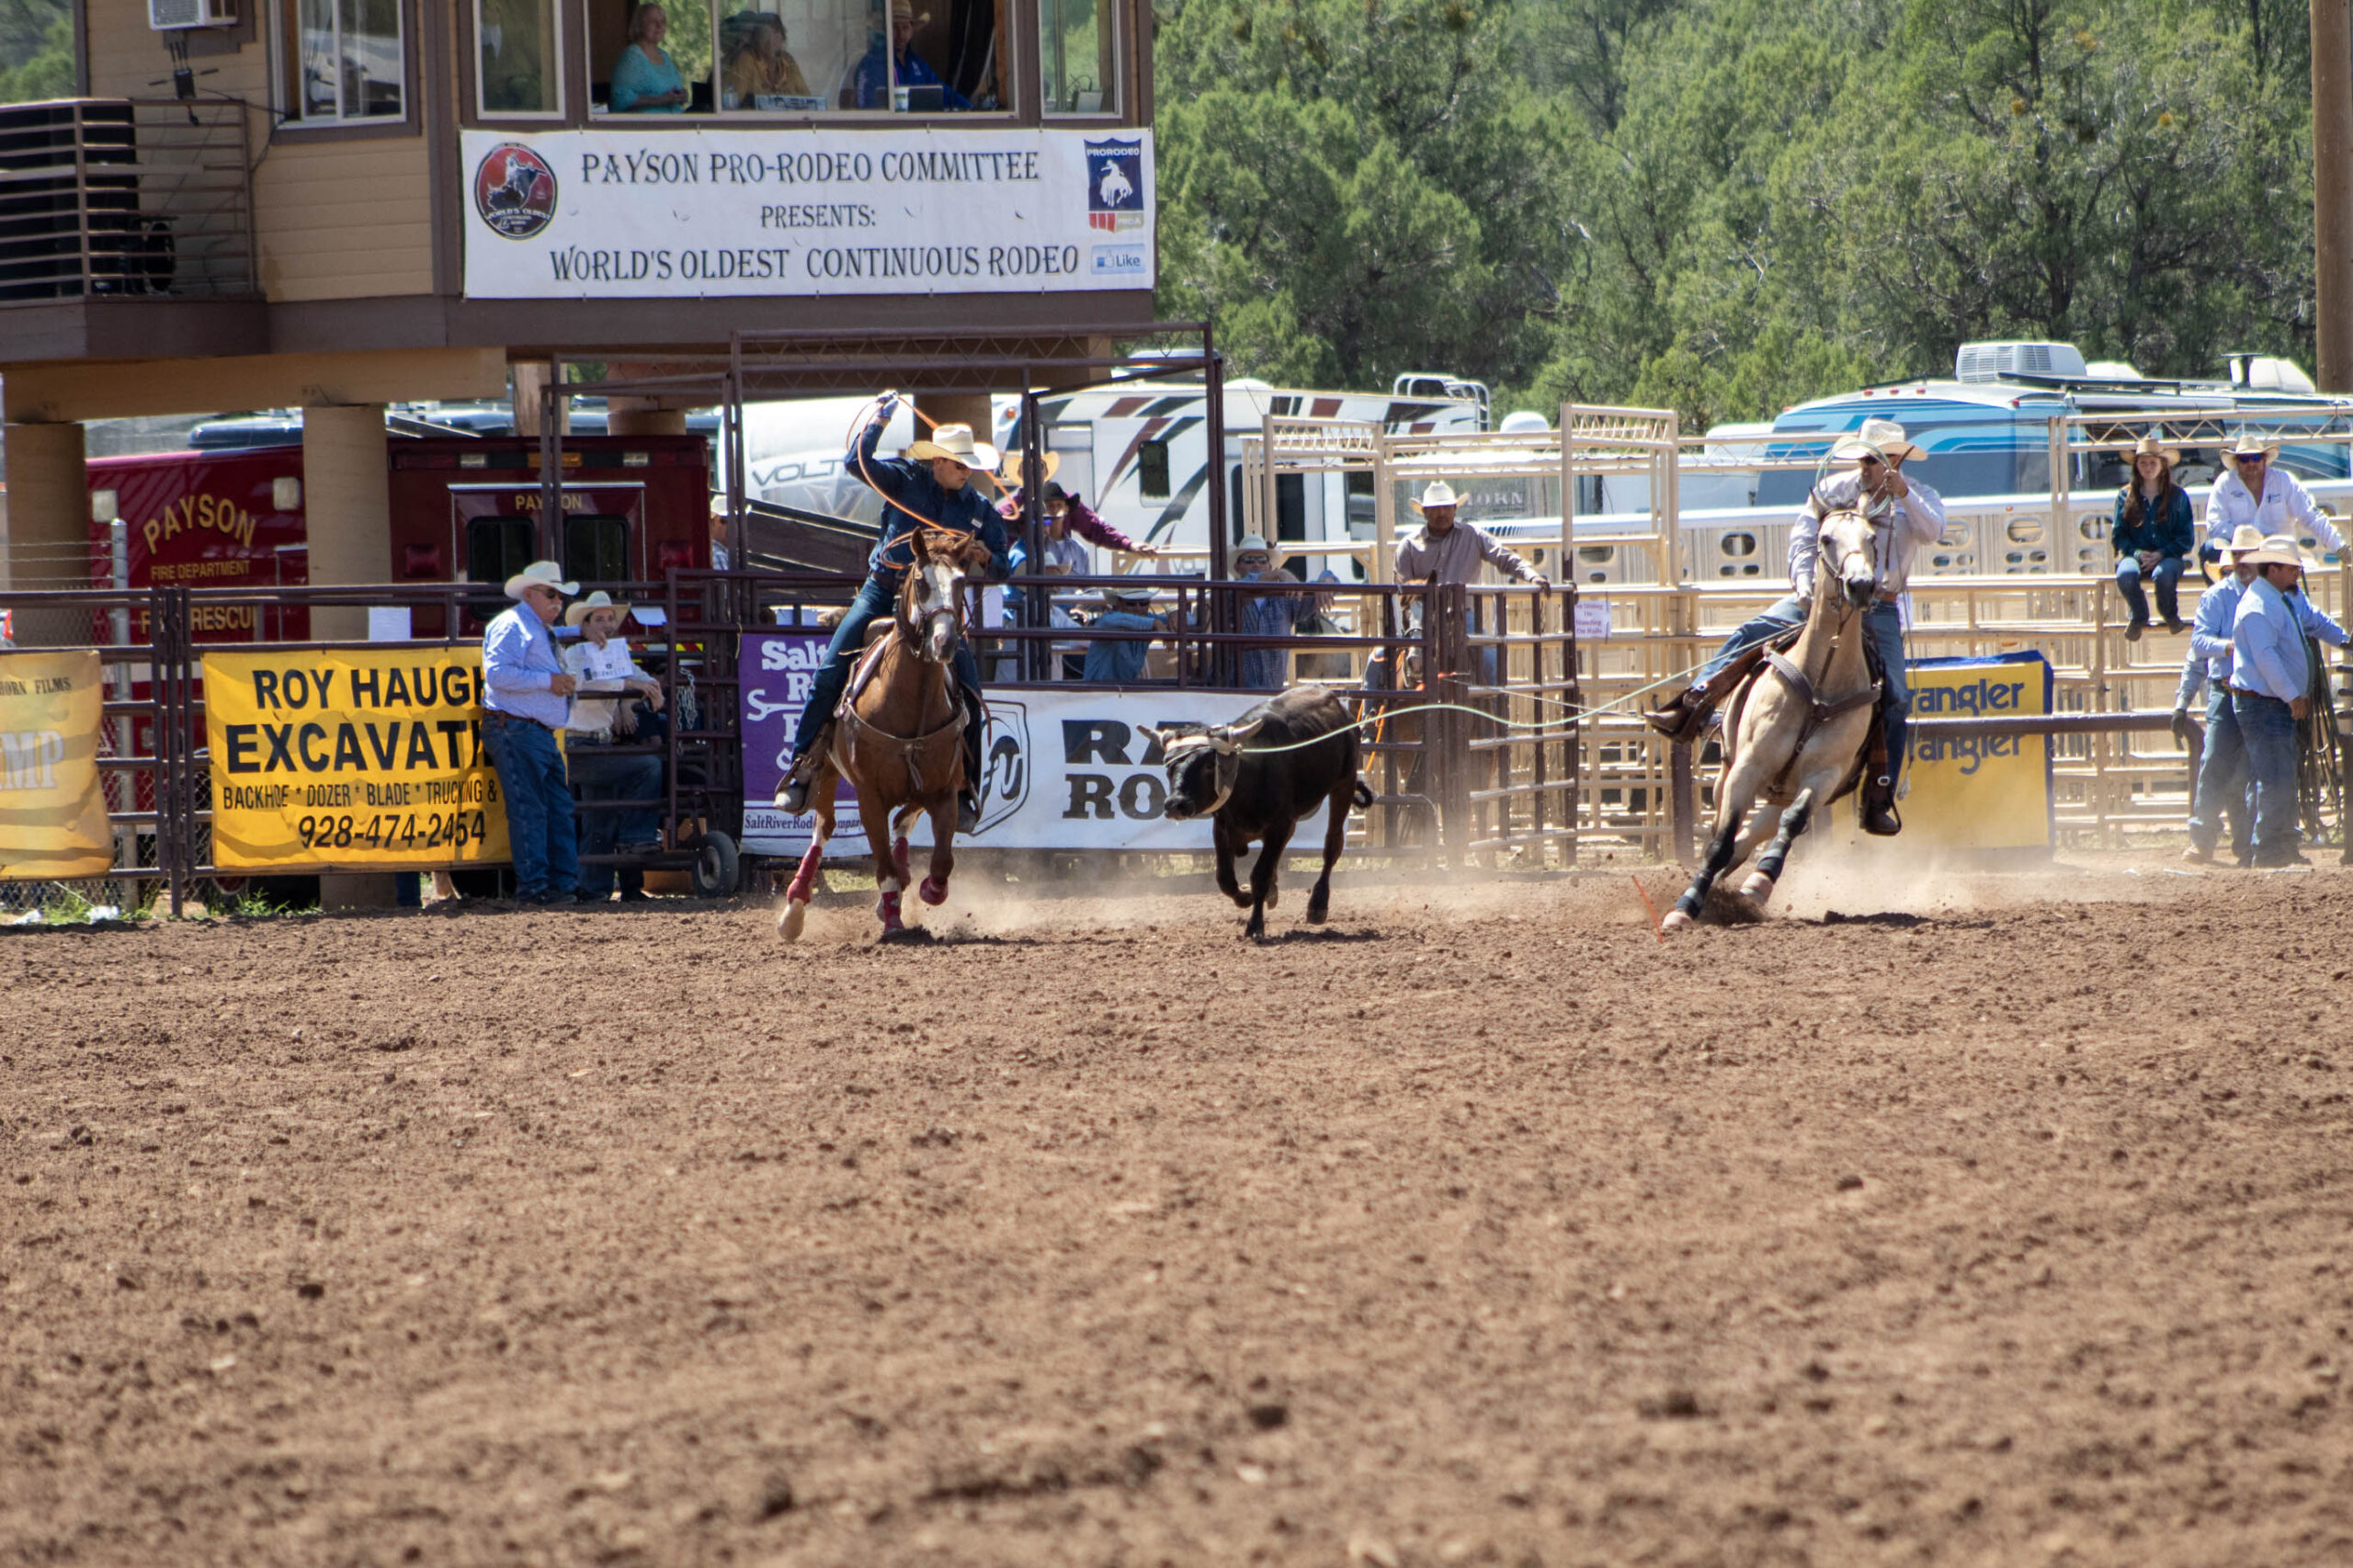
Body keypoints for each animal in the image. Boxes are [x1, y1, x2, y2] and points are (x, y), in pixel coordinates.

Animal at [776, 531, 988, 932]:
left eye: (960, 582)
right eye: (920, 582)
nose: (945, 643)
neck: (910, 704)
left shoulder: (943, 791)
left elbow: (941, 861)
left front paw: (926, 891)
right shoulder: (869, 797)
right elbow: (883, 865)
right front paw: (892, 921)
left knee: (903, 823)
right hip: (828, 770)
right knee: (823, 828)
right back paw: (793, 910)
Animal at [1656, 504, 1892, 927]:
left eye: (1872, 538)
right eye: (1825, 539)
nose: (1861, 585)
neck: (1820, 682)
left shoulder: (1825, 775)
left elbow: (1793, 822)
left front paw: (1760, 882)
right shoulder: (1749, 766)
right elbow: (1719, 842)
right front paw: (1684, 908)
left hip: (1779, 792)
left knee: (1752, 836)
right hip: (1727, 776)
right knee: (1723, 836)